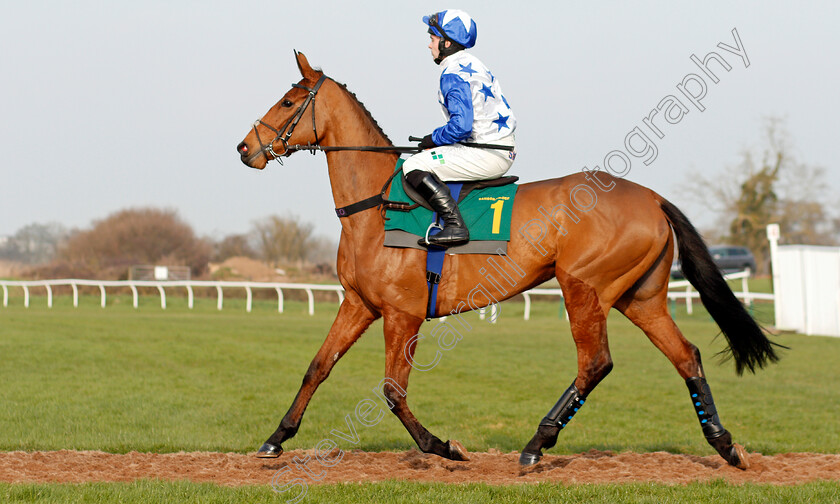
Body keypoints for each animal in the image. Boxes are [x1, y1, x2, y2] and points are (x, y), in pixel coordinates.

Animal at [233, 51, 776, 468]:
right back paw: (726, 447)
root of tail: (653, 198)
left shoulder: (402, 314)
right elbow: (317, 368)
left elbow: (392, 391)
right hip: (640, 298)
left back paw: (538, 443)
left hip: (584, 288)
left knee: (595, 362)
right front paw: (275, 439)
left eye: (288, 101)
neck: (377, 203)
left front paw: (443, 447)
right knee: (686, 355)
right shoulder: (359, 304)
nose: (244, 148)